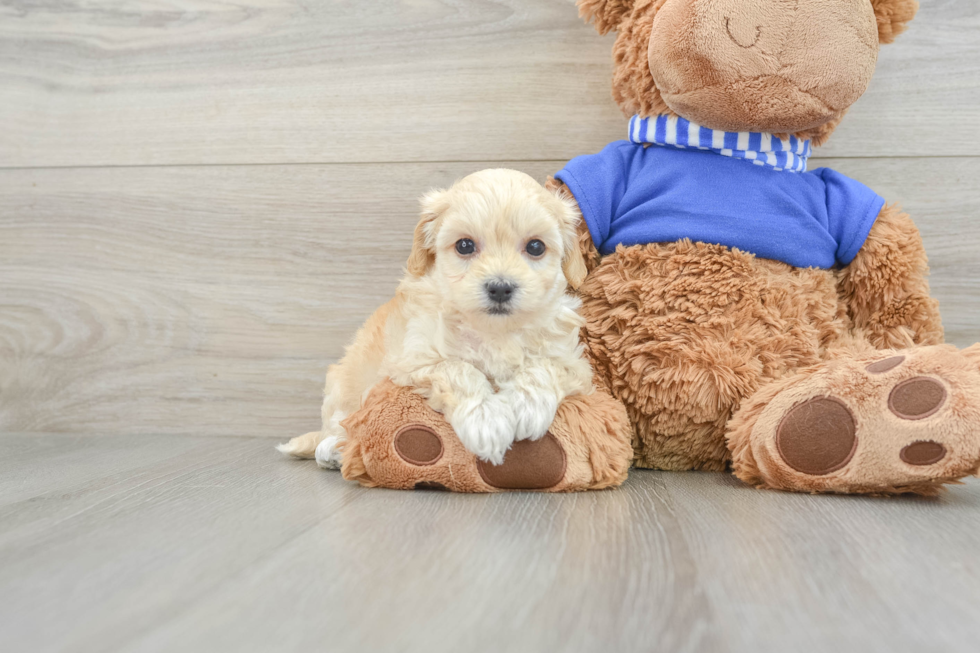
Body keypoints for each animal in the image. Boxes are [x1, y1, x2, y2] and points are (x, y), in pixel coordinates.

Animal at [280, 167, 592, 464]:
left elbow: (544, 366)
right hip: (343, 386)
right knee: (335, 427)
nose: (500, 288)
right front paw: (486, 420)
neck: (494, 330)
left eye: (536, 247)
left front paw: (525, 406)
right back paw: (333, 450)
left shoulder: (573, 362)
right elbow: (457, 369)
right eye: (464, 245)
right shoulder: (412, 362)